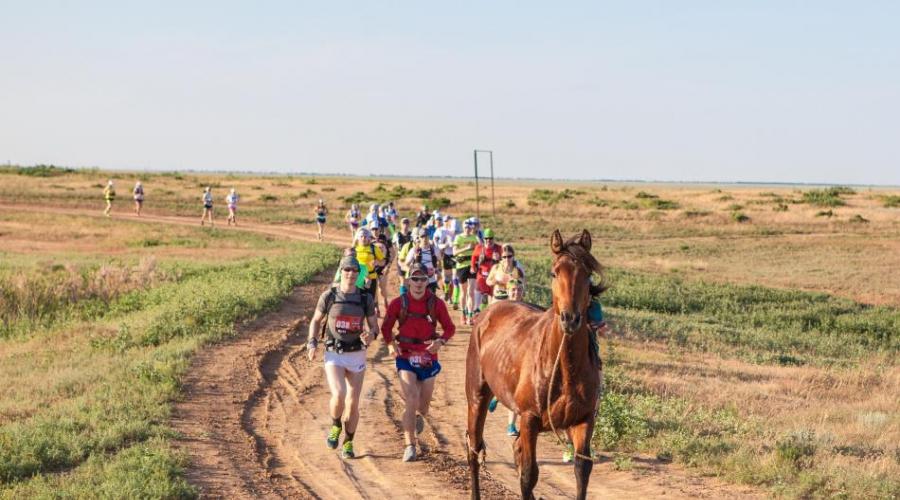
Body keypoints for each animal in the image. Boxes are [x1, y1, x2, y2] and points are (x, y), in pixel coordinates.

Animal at [464, 229, 604, 498]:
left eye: (587, 274)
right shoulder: (529, 419)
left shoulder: (584, 420)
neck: (565, 368)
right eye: (554, 272)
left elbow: (582, 472)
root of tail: (487, 314)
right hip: (477, 396)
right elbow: (529, 474)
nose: (570, 318)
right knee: (474, 449)